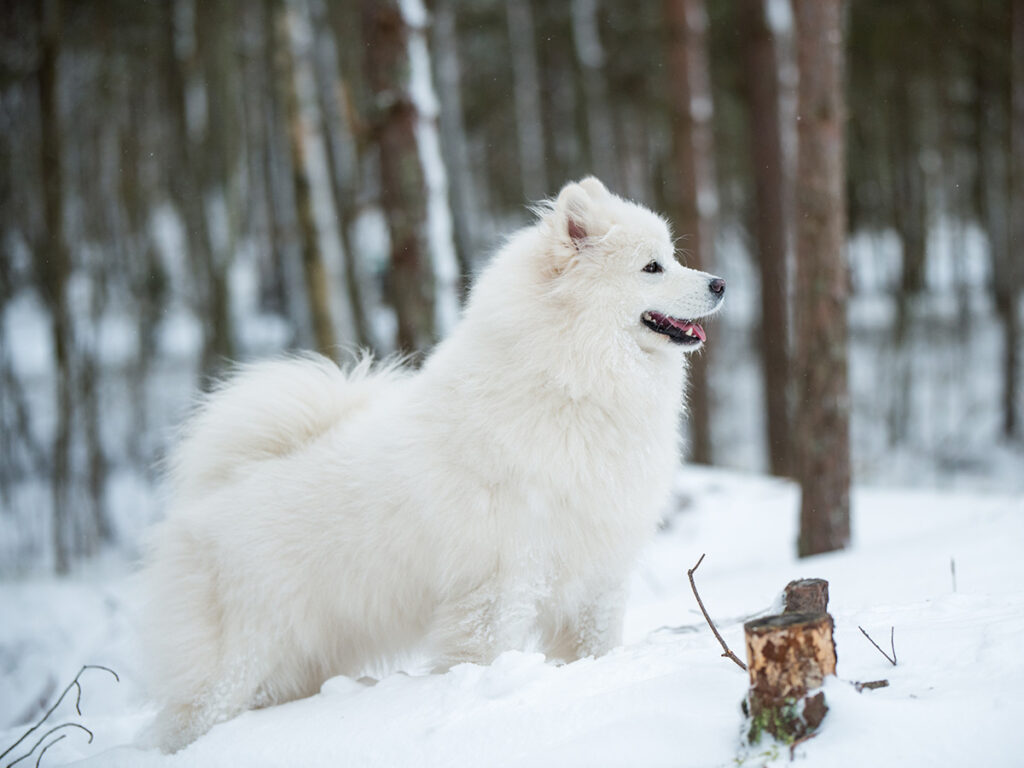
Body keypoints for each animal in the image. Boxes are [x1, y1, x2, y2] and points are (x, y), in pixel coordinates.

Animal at [140, 177, 724, 749]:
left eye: (672, 257)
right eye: (652, 267)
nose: (720, 283)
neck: (571, 383)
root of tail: (212, 493)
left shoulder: (599, 573)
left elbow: (596, 645)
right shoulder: (500, 583)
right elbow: (484, 655)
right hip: (242, 658)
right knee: (195, 716)